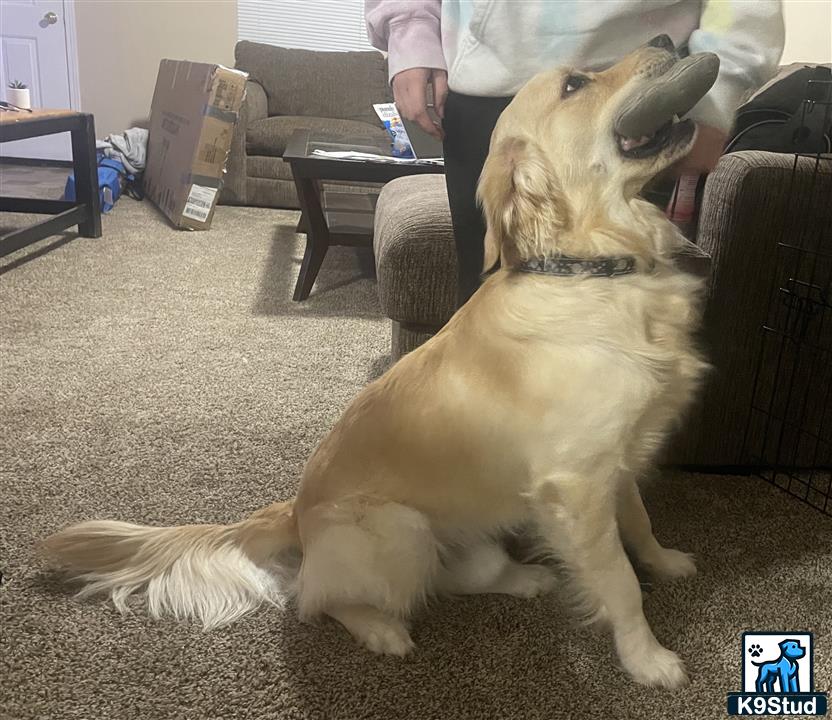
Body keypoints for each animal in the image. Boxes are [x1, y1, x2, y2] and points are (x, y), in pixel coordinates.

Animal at [47, 38, 720, 688]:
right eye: (576, 83)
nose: (670, 38)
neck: (596, 271)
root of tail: (295, 513)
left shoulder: (618, 460)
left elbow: (640, 523)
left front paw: (666, 561)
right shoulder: (576, 485)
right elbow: (620, 583)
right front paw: (648, 659)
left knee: (457, 576)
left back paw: (526, 578)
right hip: (400, 529)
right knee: (315, 599)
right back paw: (381, 629)